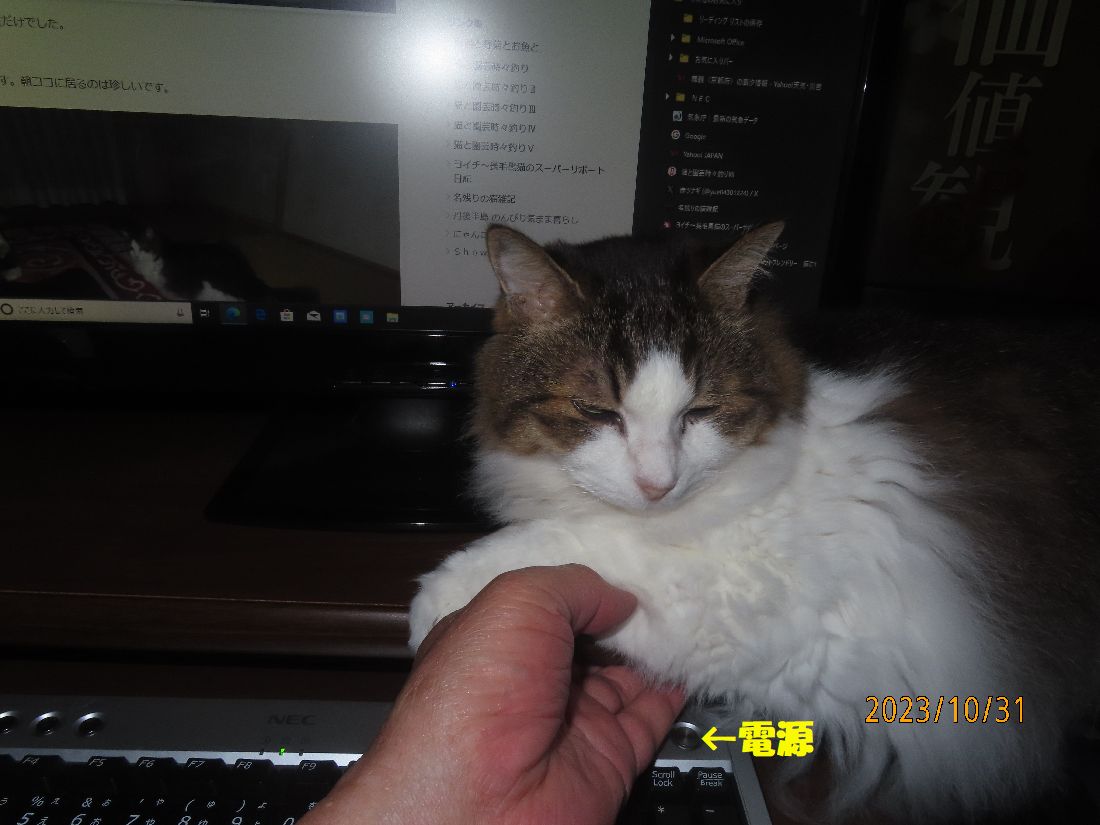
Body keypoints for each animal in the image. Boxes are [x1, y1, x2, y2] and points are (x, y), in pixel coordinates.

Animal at [407, 222, 1100, 822]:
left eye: (700, 412)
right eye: (595, 411)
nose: (657, 484)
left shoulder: (774, 612)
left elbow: (582, 540)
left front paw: (441, 598)